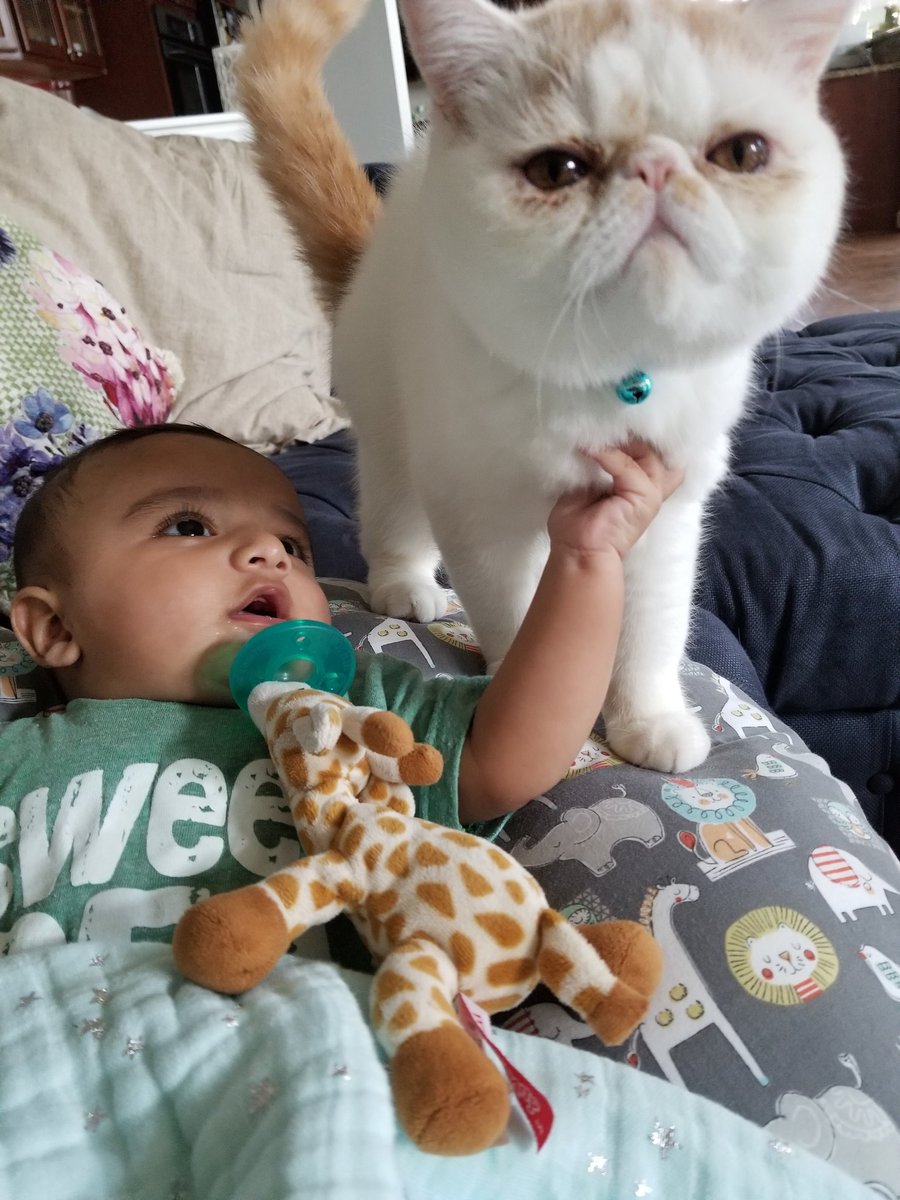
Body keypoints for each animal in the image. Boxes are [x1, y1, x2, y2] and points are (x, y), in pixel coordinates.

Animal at [238, 0, 850, 772]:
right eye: (558, 168)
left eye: (742, 154)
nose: (654, 166)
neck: (609, 374)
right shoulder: (480, 512)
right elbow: (516, 612)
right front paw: (522, 684)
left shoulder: (666, 514)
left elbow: (652, 630)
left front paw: (647, 719)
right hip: (399, 436)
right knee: (391, 515)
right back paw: (405, 584)